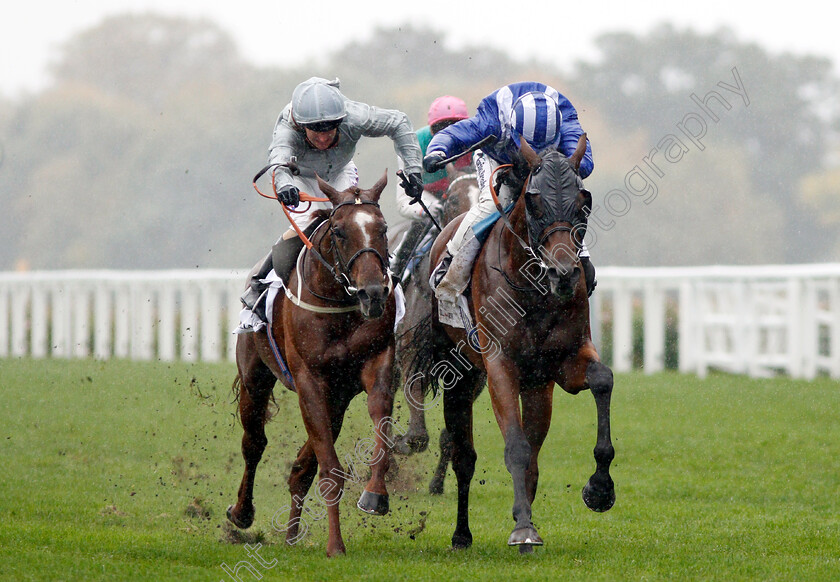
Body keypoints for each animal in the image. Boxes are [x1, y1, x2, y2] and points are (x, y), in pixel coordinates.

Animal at [228, 172, 398, 556]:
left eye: (382, 228)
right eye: (339, 231)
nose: (373, 294)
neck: (339, 304)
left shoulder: (374, 366)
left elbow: (380, 422)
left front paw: (375, 495)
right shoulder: (309, 380)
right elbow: (329, 469)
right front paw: (335, 545)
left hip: (337, 399)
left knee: (300, 468)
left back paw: (291, 536)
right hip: (255, 379)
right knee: (254, 443)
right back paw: (242, 513)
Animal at [426, 137, 616, 552]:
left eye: (584, 201)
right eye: (534, 202)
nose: (564, 274)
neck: (532, 290)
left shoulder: (563, 361)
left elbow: (602, 379)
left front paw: (599, 489)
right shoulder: (500, 364)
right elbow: (515, 446)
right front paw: (522, 528)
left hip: (536, 386)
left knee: (535, 449)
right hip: (459, 372)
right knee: (463, 454)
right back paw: (461, 533)